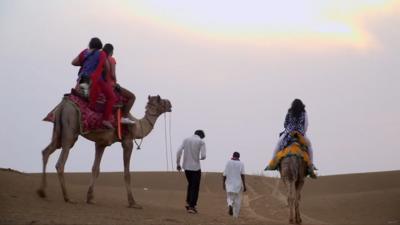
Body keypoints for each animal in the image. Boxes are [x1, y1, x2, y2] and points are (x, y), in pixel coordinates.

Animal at [35, 94, 170, 208]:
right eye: (161, 100)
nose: (170, 104)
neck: (137, 126)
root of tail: (63, 105)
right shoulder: (127, 142)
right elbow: (127, 173)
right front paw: (133, 203)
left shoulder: (101, 144)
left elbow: (95, 169)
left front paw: (90, 198)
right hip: (70, 130)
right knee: (60, 162)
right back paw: (67, 198)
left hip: (58, 131)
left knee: (46, 151)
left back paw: (42, 191)